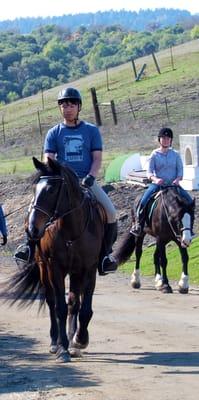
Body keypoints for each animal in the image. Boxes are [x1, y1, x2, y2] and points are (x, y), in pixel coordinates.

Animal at [5, 157, 105, 362]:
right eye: (34, 189)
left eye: (51, 190)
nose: (32, 229)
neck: (72, 231)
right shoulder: (55, 268)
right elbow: (59, 308)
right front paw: (63, 348)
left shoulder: (88, 268)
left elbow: (84, 308)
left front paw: (79, 341)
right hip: (44, 268)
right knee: (51, 302)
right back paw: (54, 342)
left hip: (76, 273)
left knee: (74, 303)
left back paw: (73, 340)